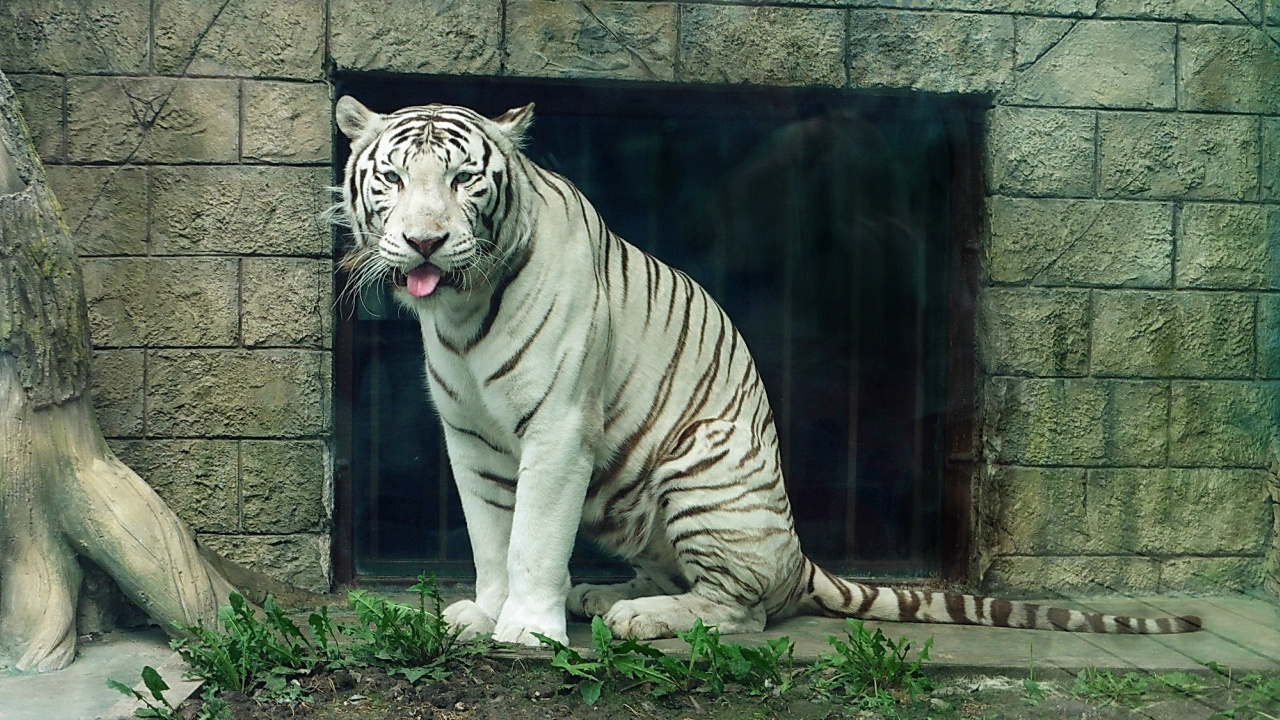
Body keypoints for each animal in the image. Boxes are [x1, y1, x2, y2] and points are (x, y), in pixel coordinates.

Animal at [332, 96, 1202, 646]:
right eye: (393, 179)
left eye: (462, 179)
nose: (424, 242)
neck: (462, 310)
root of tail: (799, 555)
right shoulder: (473, 438)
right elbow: (491, 537)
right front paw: (487, 613)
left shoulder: (558, 430)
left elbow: (533, 538)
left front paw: (528, 629)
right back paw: (610, 594)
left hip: (702, 458)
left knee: (742, 608)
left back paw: (639, 617)